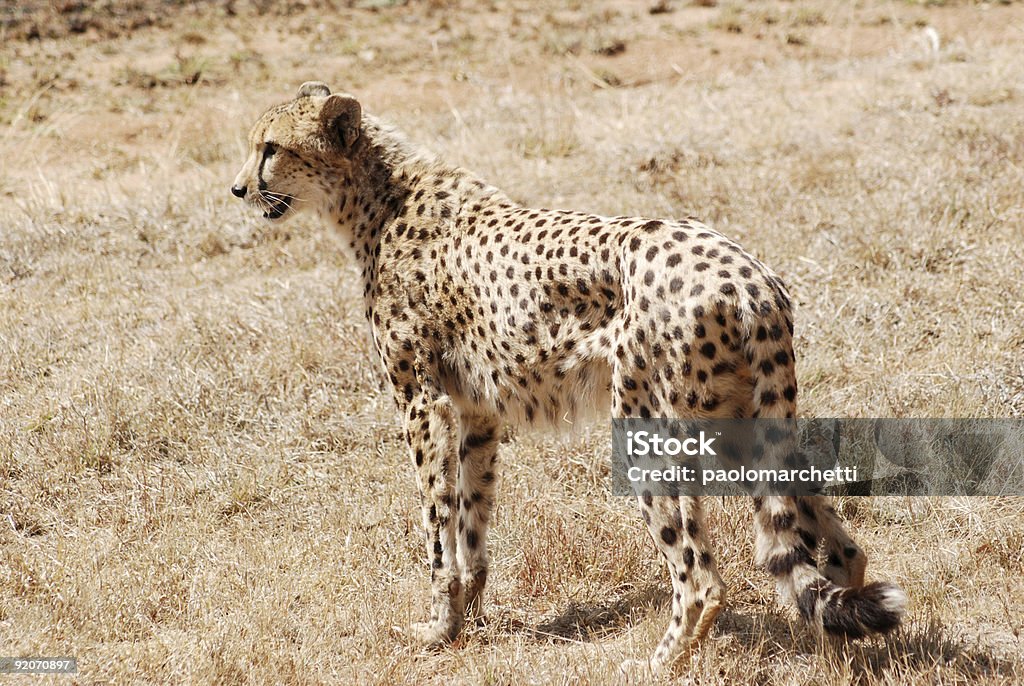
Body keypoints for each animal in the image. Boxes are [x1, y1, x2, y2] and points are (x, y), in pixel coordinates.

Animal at [232, 83, 905, 675]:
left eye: (272, 147)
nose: (239, 189)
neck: (378, 197)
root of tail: (749, 274)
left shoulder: (423, 405)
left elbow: (437, 529)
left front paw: (436, 629)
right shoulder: (476, 412)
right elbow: (472, 520)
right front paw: (467, 622)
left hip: (651, 429)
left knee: (702, 577)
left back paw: (658, 663)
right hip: (745, 424)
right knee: (838, 545)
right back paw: (837, 648)